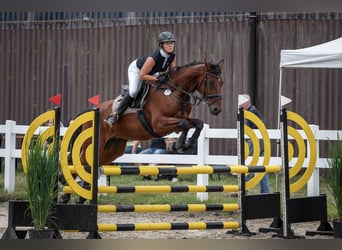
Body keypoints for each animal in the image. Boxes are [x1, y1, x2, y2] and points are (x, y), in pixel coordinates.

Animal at [80, 59, 224, 166]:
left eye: (221, 83)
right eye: (211, 83)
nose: (217, 109)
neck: (174, 93)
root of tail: (91, 112)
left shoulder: (178, 122)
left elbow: (197, 123)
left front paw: (188, 144)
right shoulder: (159, 124)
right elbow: (184, 124)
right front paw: (179, 145)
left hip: (112, 148)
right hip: (95, 144)